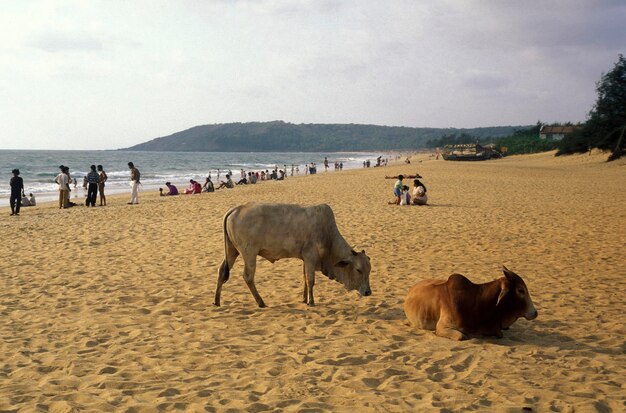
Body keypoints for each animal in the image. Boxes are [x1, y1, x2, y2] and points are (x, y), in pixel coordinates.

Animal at [214, 202, 370, 306]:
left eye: (369, 270)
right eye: (359, 270)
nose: (368, 292)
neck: (328, 235)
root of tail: (236, 209)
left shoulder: (305, 259)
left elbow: (305, 278)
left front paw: (304, 299)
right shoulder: (310, 257)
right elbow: (310, 280)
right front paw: (311, 302)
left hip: (232, 250)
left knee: (222, 271)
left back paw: (217, 301)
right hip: (249, 253)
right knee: (248, 277)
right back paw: (261, 302)